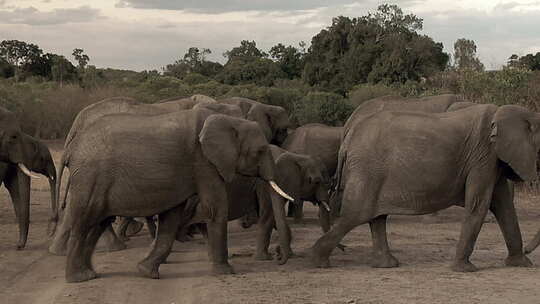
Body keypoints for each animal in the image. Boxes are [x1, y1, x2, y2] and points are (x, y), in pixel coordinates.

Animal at [50, 107, 294, 282]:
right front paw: (226, 272)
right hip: (91, 178)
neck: (228, 120)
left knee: (98, 224)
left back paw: (89, 274)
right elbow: (215, 208)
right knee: (84, 222)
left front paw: (146, 272)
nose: (278, 257)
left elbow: (171, 217)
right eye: (260, 151)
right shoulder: (204, 163)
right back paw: (77, 278)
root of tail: (71, 149)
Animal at [310, 103, 536, 272]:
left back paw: (386, 265)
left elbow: (503, 206)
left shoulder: (490, 161)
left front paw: (521, 264)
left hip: (371, 173)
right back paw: (318, 261)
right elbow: (479, 205)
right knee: (356, 214)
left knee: (375, 217)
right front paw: (465, 269)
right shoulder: (483, 157)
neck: (501, 111)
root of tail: (347, 139)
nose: (528, 251)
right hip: (367, 170)